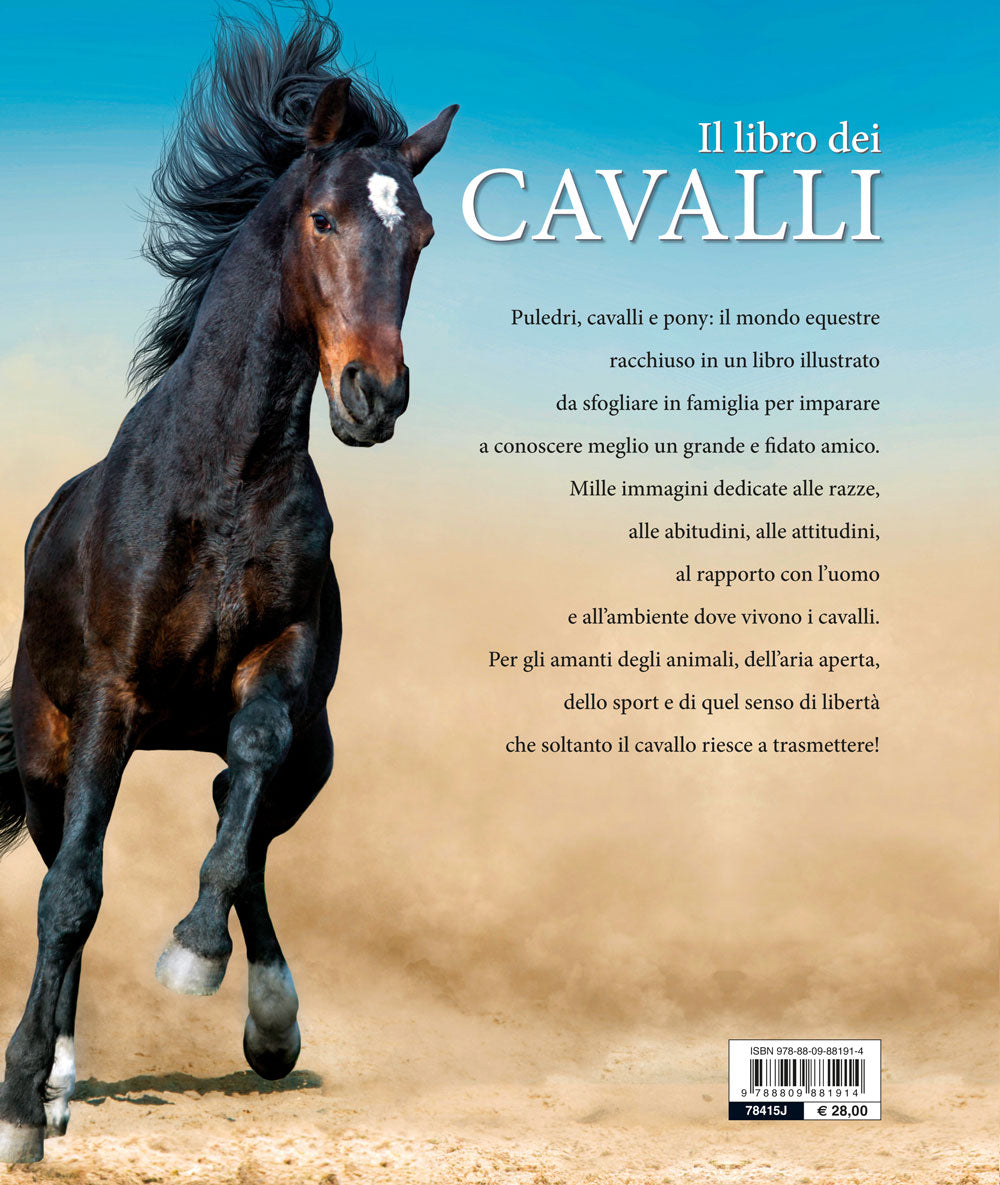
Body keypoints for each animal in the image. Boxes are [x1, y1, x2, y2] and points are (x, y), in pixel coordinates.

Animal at [0, 8, 456, 1164]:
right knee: (63, 871)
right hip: (46, 748)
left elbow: (243, 786)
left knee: (235, 821)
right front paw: (24, 1102)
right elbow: (73, 891)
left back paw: (265, 1020)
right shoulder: (110, 698)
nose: (374, 396)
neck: (223, 478)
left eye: (423, 234)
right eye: (326, 219)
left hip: (314, 760)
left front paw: (203, 960)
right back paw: (57, 1078)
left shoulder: (279, 674)